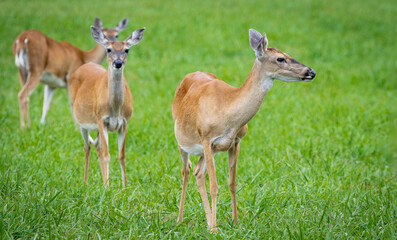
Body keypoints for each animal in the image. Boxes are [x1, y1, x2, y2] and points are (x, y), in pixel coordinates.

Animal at [69, 25, 145, 188]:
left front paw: (124, 186)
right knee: (87, 146)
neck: (115, 109)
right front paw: (107, 187)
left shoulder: (125, 121)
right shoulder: (101, 119)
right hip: (81, 120)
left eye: (127, 50)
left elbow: (121, 155)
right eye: (108, 49)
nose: (118, 63)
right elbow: (106, 154)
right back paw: (86, 181)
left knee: (97, 145)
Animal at [172, 28, 316, 229]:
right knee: (186, 171)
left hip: (204, 151)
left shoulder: (235, 141)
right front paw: (215, 229)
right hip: (182, 141)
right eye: (280, 58)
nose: (311, 72)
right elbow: (214, 186)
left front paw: (235, 222)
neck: (228, 113)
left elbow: (232, 183)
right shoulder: (207, 138)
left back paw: (208, 221)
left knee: (197, 172)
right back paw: (181, 219)